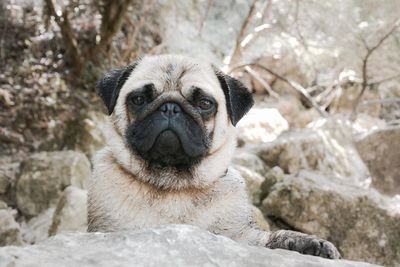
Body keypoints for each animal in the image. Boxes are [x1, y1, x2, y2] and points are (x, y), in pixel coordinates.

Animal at [87, 55, 340, 260]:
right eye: (139, 99)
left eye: (204, 103)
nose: (170, 107)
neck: (174, 185)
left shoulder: (241, 237)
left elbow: (275, 237)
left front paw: (309, 244)